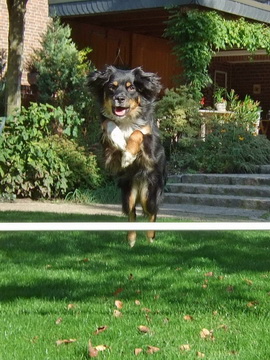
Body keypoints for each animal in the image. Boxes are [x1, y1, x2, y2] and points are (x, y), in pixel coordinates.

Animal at [88, 65, 166, 248]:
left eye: (132, 88)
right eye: (112, 87)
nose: (119, 98)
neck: (126, 120)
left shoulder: (150, 150)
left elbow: (138, 132)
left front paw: (129, 155)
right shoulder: (108, 152)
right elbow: (108, 124)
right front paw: (118, 139)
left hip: (149, 193)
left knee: (152, 213)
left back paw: (150, 237)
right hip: (128, 194)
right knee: (132, 214)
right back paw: (131, 240)